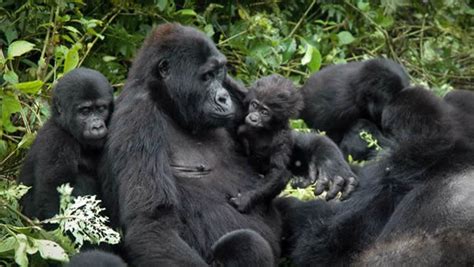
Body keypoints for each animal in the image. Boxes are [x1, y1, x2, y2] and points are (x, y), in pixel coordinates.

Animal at [230, 75, 304, 214]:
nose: (253, 117)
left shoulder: (283, 138)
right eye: (254, 105)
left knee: (284, 175)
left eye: (264, 112)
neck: (268, 127)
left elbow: (277, 171)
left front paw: (245, 199)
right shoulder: (247, 97)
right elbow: (239, 91)